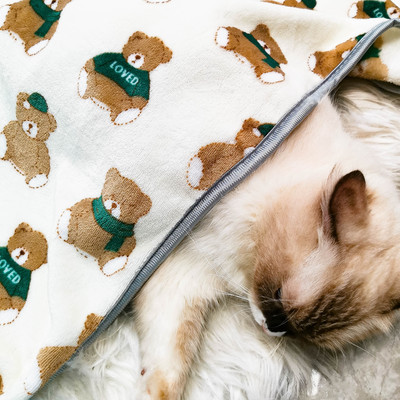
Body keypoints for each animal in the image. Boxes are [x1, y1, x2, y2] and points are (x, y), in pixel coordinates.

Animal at [133, 85, 400, 399]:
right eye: (277, 293)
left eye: (300, 334)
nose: (270, 328)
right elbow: (170, 370)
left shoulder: (188, 274)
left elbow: (169, 364)